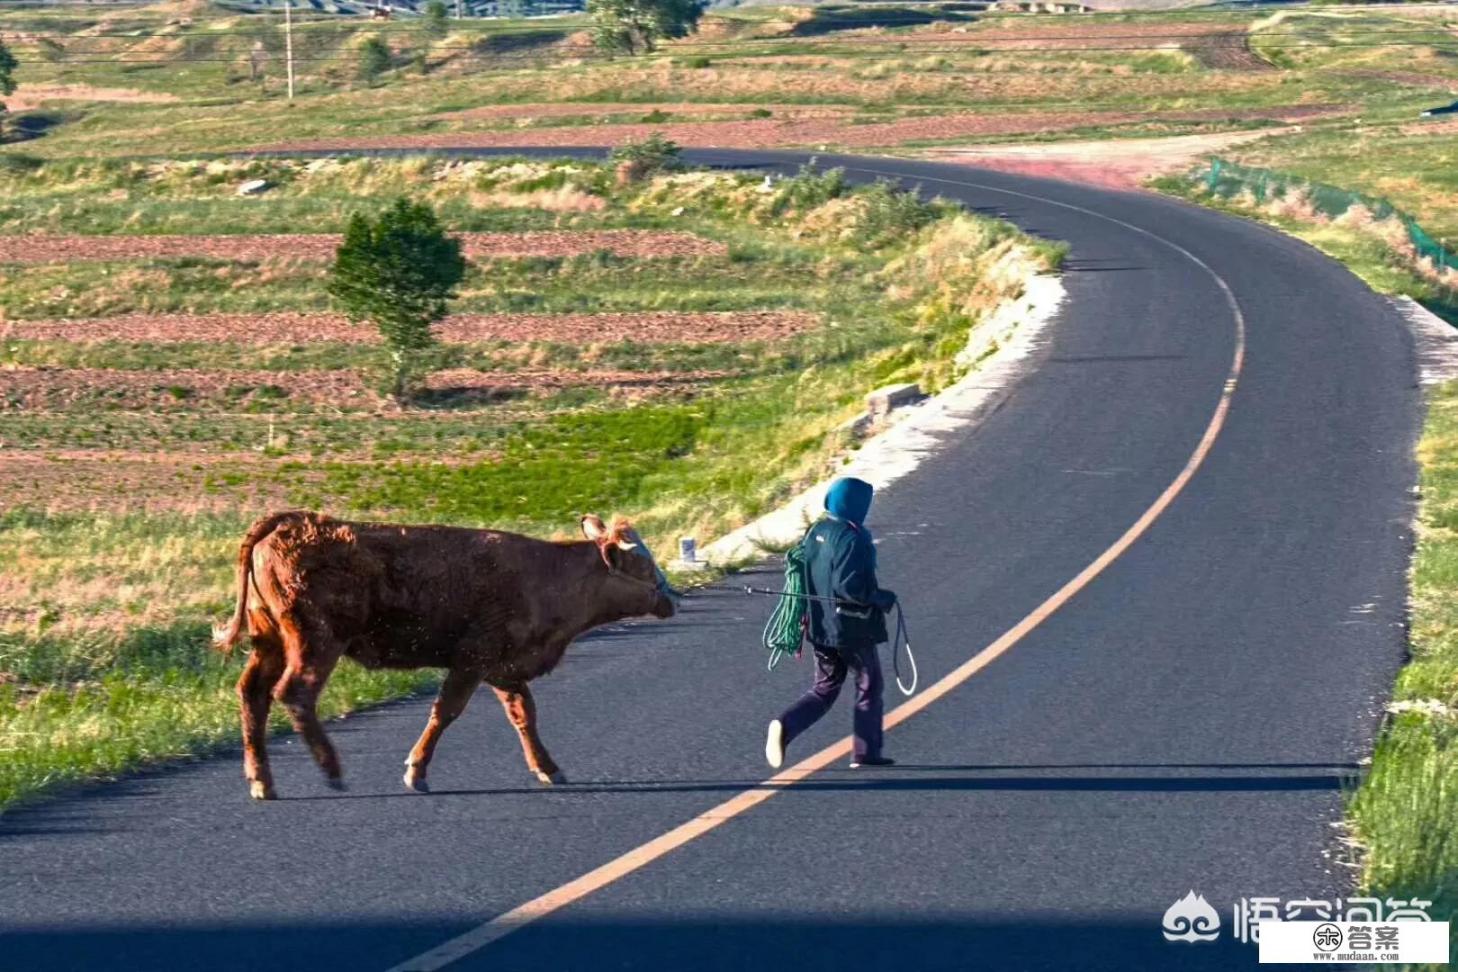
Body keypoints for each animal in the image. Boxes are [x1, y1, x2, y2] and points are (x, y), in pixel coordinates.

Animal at [212, 510, 676, 798]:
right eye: (643, 565)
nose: (670, 597)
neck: (546, 573)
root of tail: (292, 519)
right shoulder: (472, 660)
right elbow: (446, 711)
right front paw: (415, 772)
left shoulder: (503, 667)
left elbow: (523, 714)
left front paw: (548, 767)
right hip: (316, 642)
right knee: (294, 693)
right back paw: (332, 772)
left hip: (269, 642)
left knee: (252, 695)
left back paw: (262, 782)